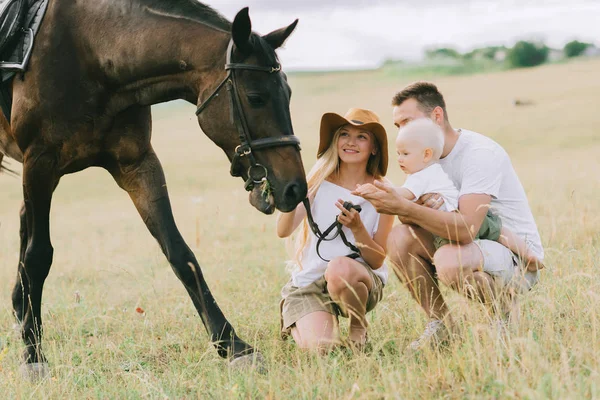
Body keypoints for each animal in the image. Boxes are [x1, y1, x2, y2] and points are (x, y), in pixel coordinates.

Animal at [0, 0, 308, 376]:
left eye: (288, 93)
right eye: (255, 97)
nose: (294, 188)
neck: (91, 52)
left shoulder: (138, 165)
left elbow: (179, 252)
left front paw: (233, 345)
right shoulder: (40, 163)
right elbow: (39, 256)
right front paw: (33, 356)